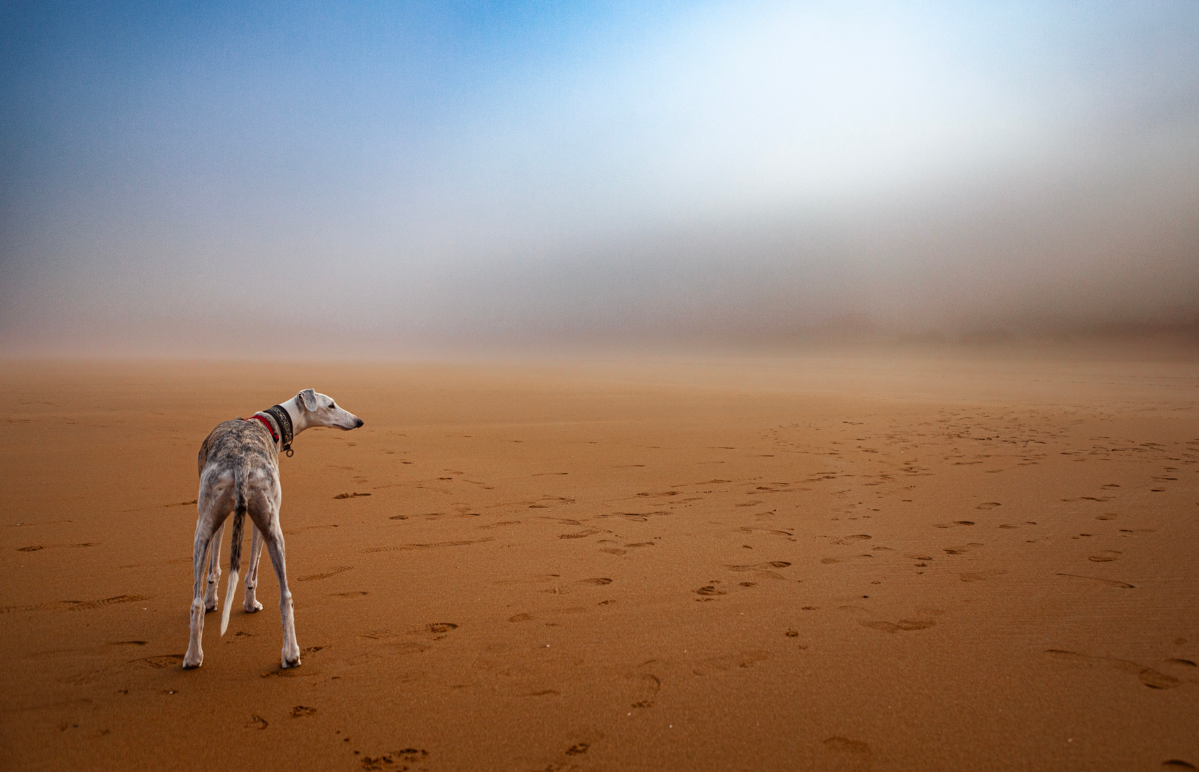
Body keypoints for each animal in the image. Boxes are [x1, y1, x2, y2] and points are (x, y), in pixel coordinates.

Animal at [181, 388, 359, 666]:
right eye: (331, 405)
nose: (359, 421)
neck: (268, 423)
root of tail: (241, 464)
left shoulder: (231, 523)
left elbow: (221, 569)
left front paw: (229, 602)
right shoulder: (254, 523)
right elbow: (239, 570)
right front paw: (242, 603)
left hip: (209, 527)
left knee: (197, 601)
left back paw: (193, 655)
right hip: (268, 530)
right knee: (285, 596)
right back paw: (291, 654)